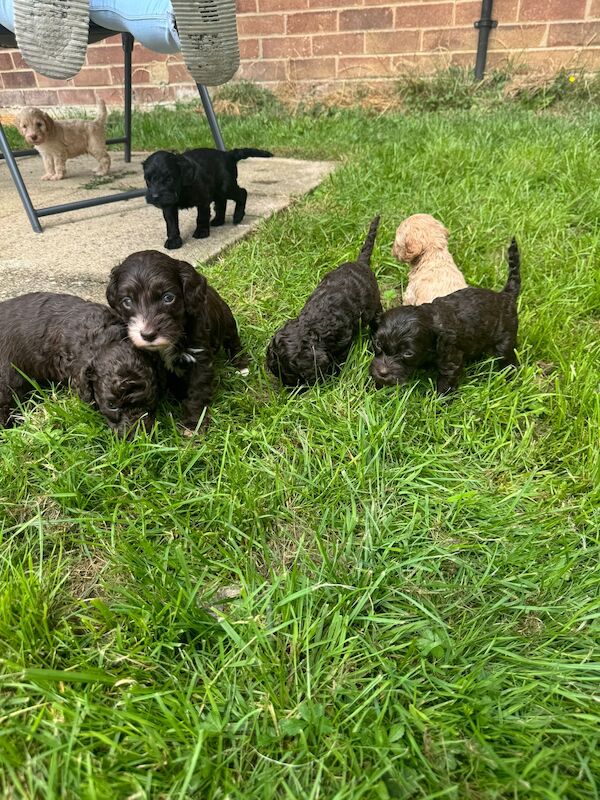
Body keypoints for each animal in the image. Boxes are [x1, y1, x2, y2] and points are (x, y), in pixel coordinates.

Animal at [106, 253, 247, 434]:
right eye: (127, 301)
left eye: (168, 298)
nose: (148, 334)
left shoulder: (199, 357)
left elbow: (197, 391)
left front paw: (193, 425)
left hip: (227, 322)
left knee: (234, 343)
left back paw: (242, 367)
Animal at [144, 148, 276, 248]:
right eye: (147, 179)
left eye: (169, 179)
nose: (154, 196)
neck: (183, 187)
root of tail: (227, 154)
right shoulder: (168, 205)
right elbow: (171, 223)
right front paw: (173, 240)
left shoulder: (203, 200)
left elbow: (201, 217)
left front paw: (201, 232)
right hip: (218, 190)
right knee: (221, 203)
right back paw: (218, 220)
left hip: (226, 187)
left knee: (242, 193)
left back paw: (238, 216)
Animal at [268, 214, 384, 386]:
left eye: (292, 376)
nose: (290, 389)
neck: (312, 327)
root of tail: (361, 263)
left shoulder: (342, 343)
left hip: (375, 305)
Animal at [370, 238, 520, 394]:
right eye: (378, 343)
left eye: (408, 354)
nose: (382, 373)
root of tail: (506, 295)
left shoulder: (450, 359)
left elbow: (445, 384)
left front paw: (439, 400)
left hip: (505, 340)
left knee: (509, 360)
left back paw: (510, 379)